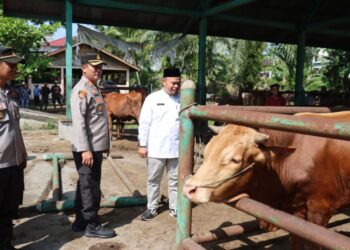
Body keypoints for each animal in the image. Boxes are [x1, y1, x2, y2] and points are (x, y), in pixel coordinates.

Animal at [183, 112, 350, 249]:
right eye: (207, 151)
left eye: (235, 160)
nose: (189, 189)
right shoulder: (296, 211)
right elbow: (295, 240)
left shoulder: (320, 211)